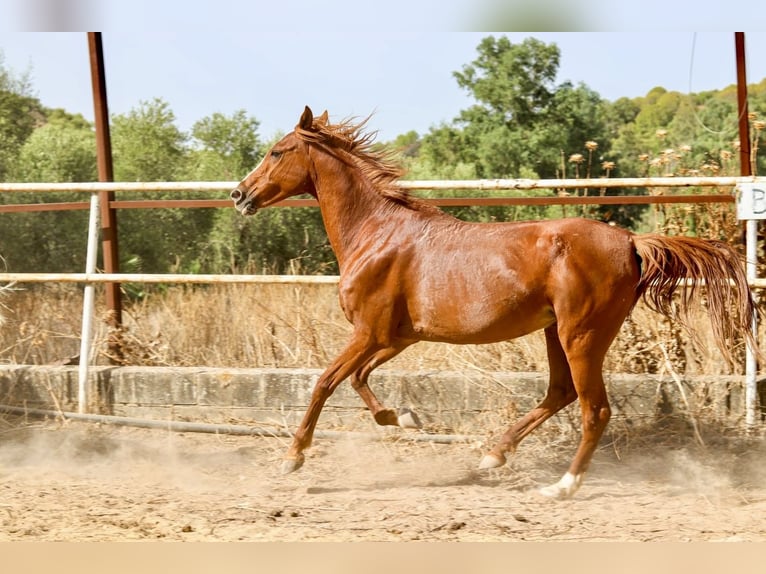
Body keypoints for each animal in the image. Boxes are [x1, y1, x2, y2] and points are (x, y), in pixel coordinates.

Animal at [231, 107, 760, 500]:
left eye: (277, 151)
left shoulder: (370, 332)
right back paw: (494, 454)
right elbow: (359, 378)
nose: (239, 194)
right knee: (560, 393)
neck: (377, 233)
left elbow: (324, 381)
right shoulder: (396, 337)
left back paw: (562, 486)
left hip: (581, 334)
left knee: (594, 409)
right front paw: (400, 418)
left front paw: (293, 457)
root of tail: (631, 241)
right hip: (554, 332)